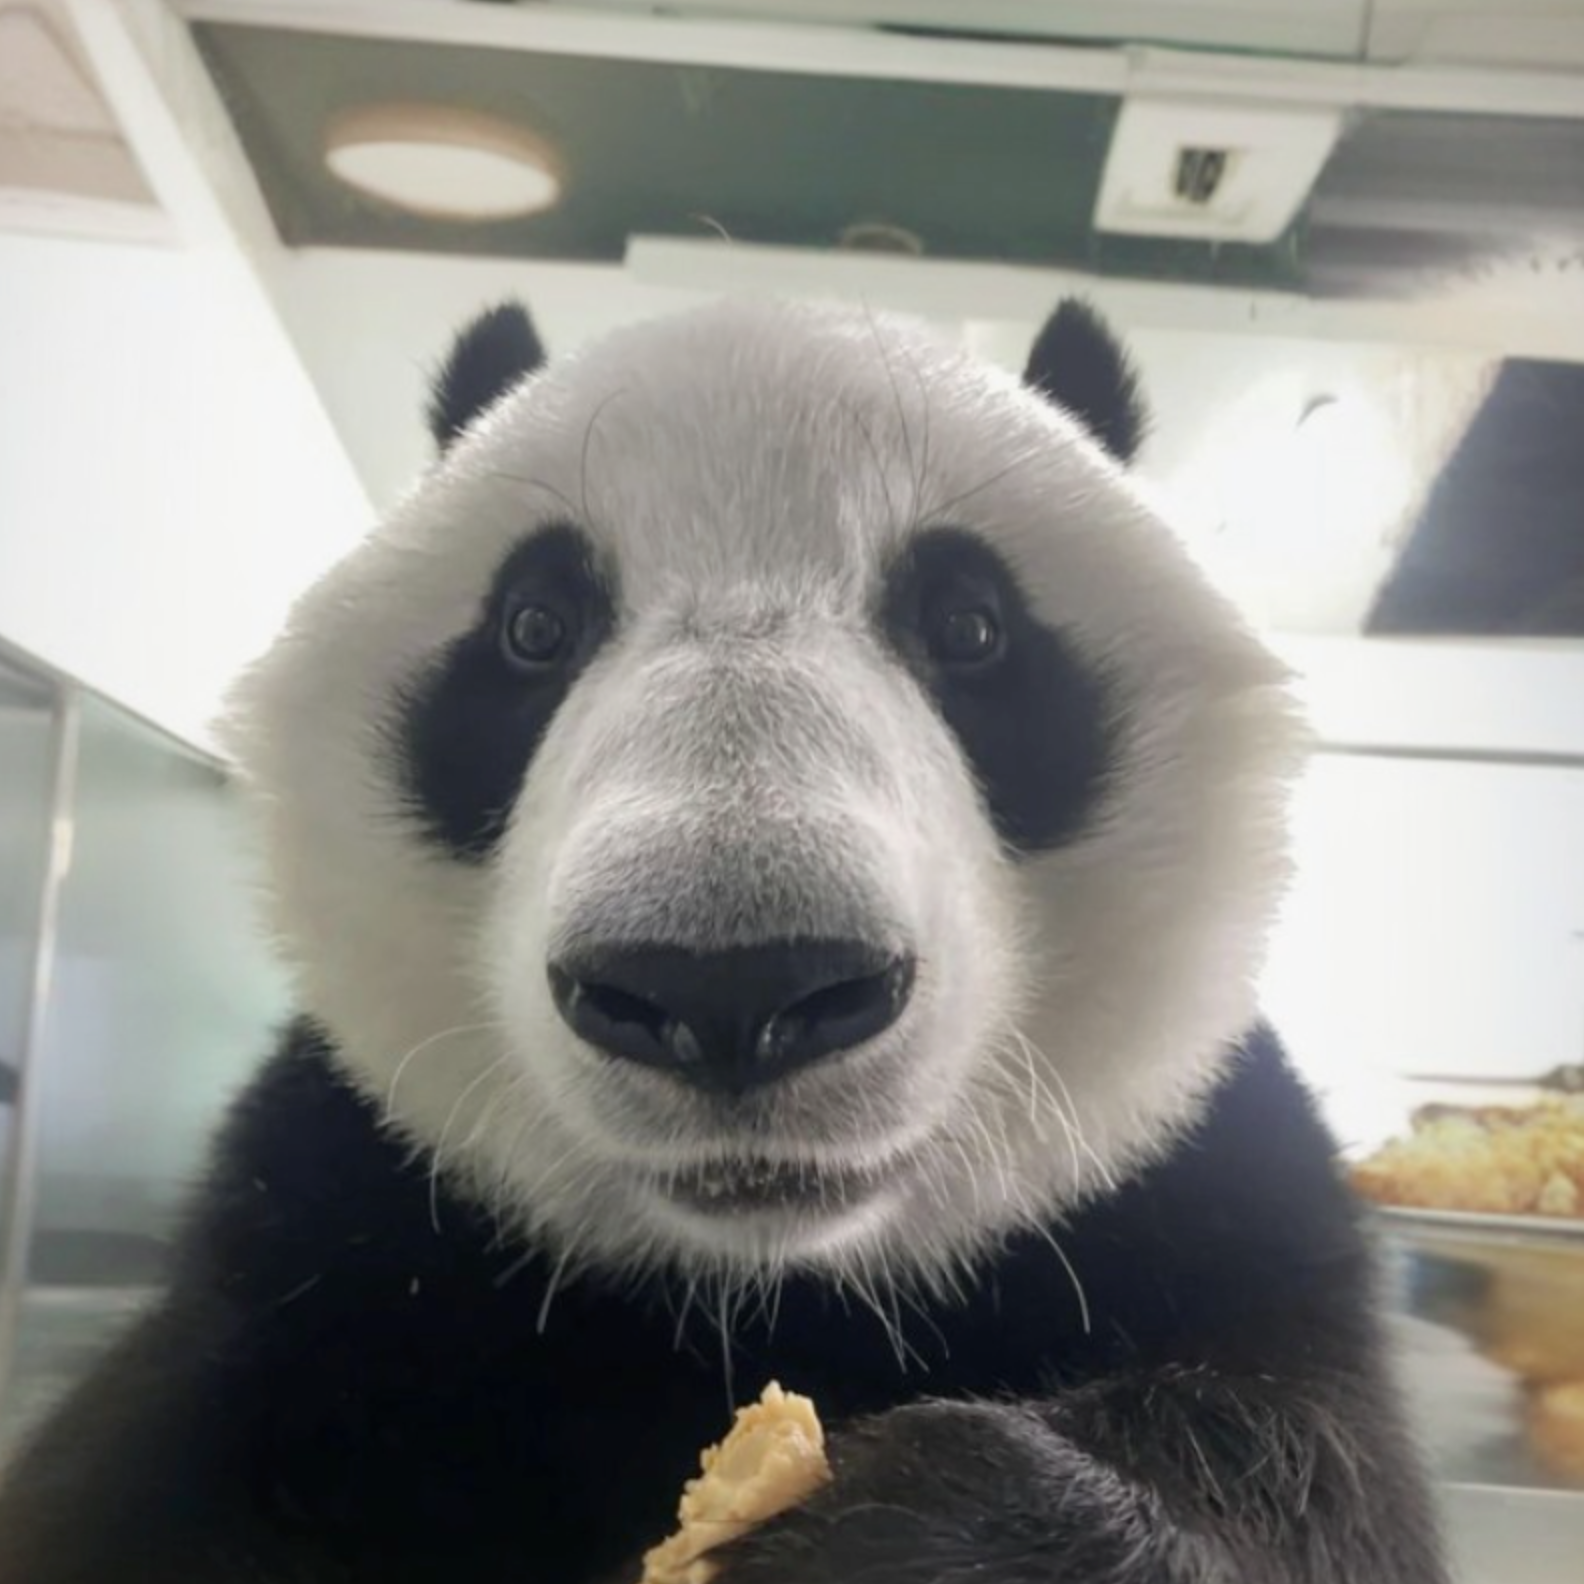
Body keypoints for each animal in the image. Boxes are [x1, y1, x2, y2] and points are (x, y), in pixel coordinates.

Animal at [0, 296, 1447, 1583]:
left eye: (971, 625)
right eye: (534, 626)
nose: (733, 985)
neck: (758, 1296)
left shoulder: (1210, 1195)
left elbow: (1314, 1485)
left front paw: (920, 1537)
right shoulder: (331, 1234)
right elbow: (129, 1495)